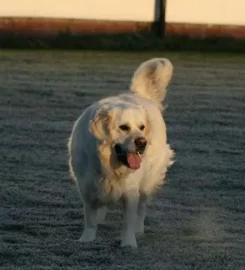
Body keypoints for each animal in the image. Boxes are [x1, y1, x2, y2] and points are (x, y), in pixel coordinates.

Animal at [67, 58, 174, 248]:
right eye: (123, 127)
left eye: (141, 127)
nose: (142, 143)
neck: (108, 165)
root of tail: (138, 95)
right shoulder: (87, 187)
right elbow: (90, 218)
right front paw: (87, 239)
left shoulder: (131, 192)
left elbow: (128, 222)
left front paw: (128, 243)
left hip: (147, 182)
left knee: (142, 207)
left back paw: (139, 229)